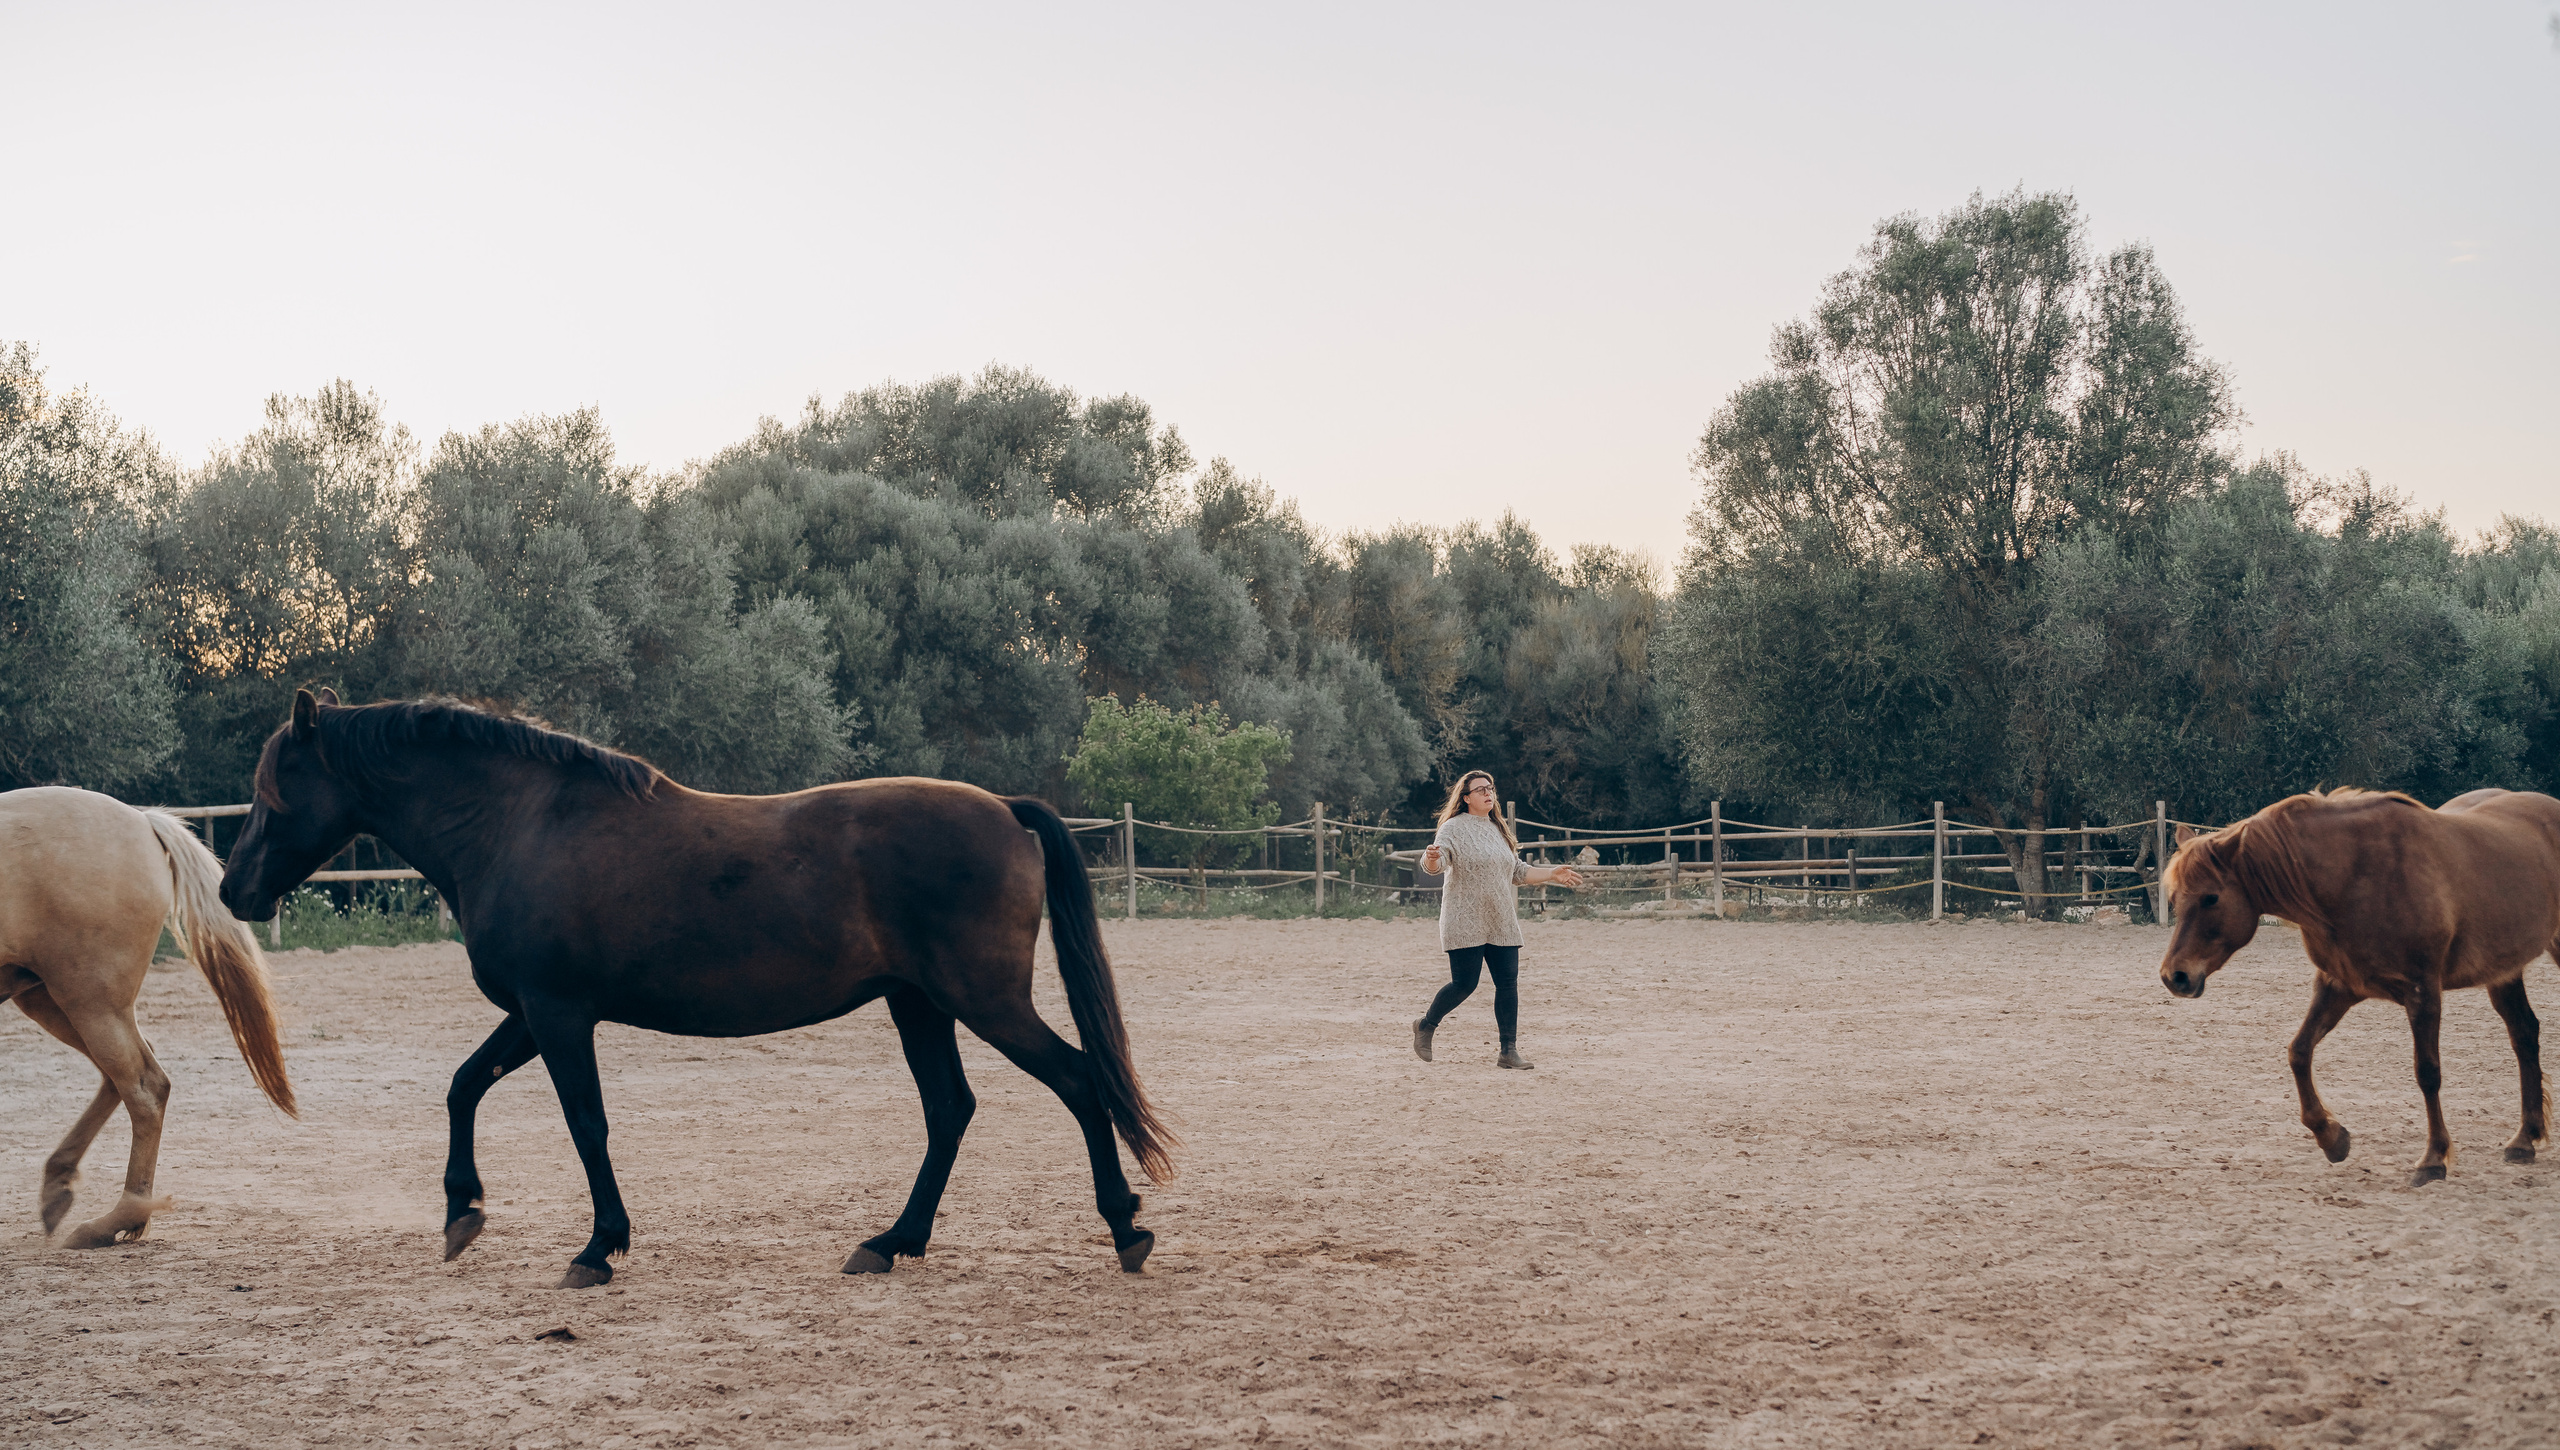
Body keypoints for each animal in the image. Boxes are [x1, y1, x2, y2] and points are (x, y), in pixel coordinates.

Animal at [3, 786, 297, 1246]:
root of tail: (144, 821)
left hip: (90, 1001)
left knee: (144, 1087)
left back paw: (116, 1217)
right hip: (52, 1000)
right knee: (123, 1078)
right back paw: (61, 1187)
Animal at [217, 688, 1174, 1289]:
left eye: (276, 788)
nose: (235, 890)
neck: (519, 825)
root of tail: (1006, 808)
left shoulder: (558, 1015)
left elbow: (586, 1125)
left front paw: (598, 1247)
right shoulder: (533, 1013)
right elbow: (463, 1087)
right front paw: (463, 1211)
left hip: (984, 1002)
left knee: (1078, 1081)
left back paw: (1125, 1227)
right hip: (920, 1005)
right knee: (950, 1111)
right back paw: (890, 1243)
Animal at [2159, 787, 2560, 1187]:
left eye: (2210, 897)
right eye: (2174, 898)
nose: (2174, 976)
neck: (2356, 876)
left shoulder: (2423, 991)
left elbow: (2428, 1073)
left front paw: (2433, 1158)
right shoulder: (2338, 986)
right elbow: (2299, 1052)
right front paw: (2331, 1136)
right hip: (2503, 972)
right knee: (2524, 1034)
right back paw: (2524, 1139)